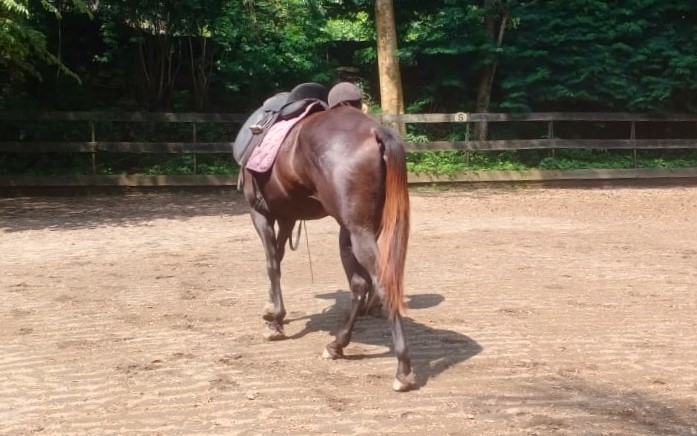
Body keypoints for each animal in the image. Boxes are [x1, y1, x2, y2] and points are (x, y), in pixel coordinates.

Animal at [241, 103, 414, 392]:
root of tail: (376, 132)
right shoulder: (287, 217)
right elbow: (279, 256)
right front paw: (271, 309)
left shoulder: (260, 214)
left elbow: (272, 264)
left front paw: (276, 322)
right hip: (357, 232)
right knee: (360, 285)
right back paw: (337, 345)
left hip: (358, 233)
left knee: (377, 283)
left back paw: (402, 370)